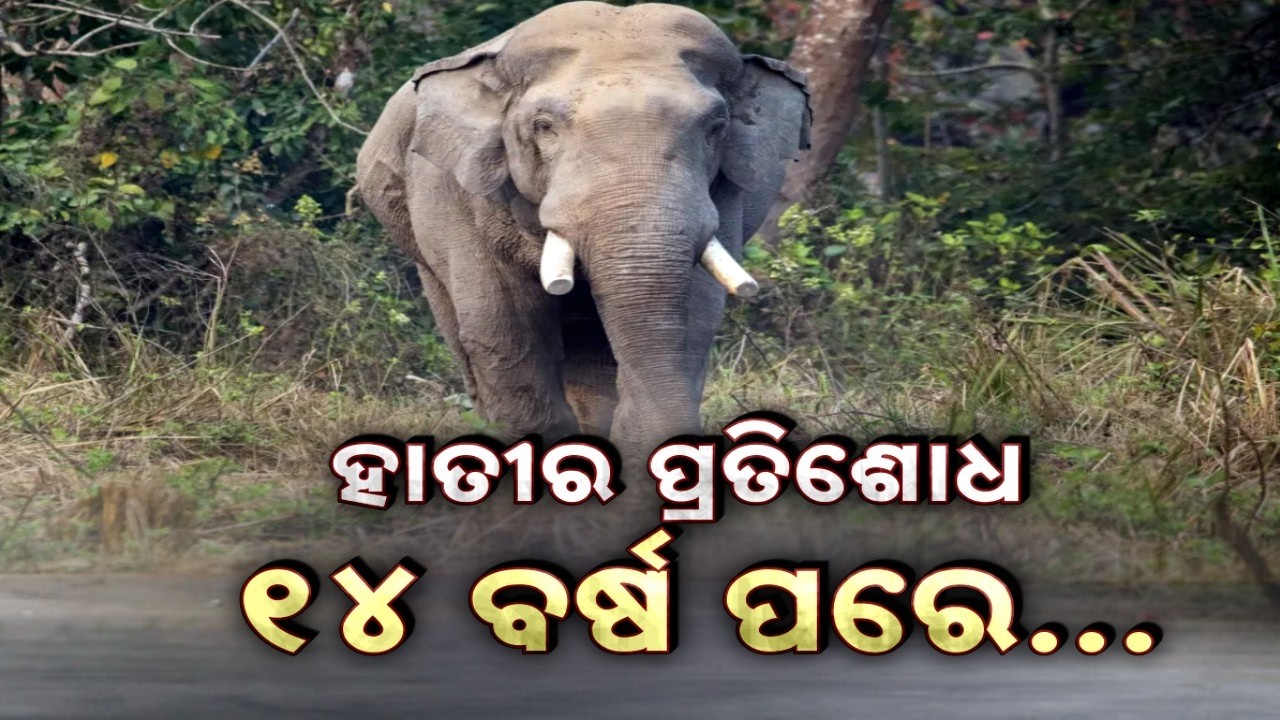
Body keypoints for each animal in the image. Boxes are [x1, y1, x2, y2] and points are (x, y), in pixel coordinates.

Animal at [356, 1, 810, 458]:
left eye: (716, 127)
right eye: (543, 126)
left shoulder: (726, 193)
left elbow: (695, 312)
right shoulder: (456, 191)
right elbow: (501, 322)